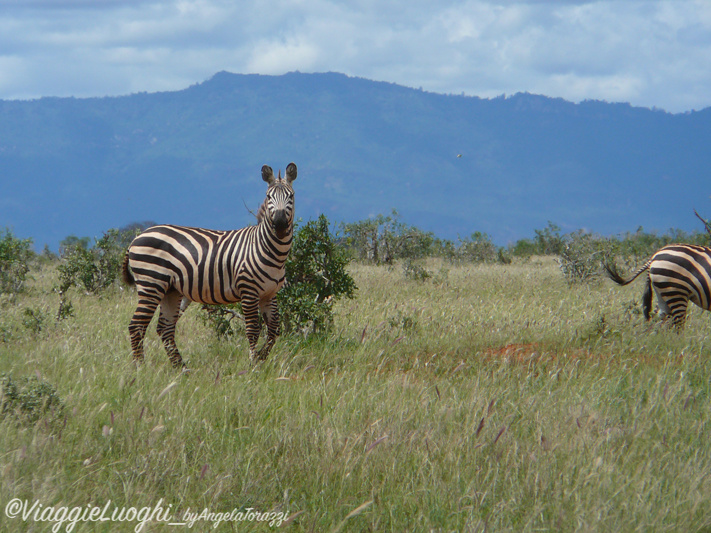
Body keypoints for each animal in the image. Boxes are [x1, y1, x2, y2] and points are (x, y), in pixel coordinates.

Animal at [121, 163, 298, 366]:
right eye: (269, 196)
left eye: (291, 196)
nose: (280, 224)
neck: (269, 250)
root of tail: (137, 237)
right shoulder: (249, 291)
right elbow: (253, 330)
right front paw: (253, 364)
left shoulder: (269, 294)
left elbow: (274, 330)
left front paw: (261, 357)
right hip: (151, 283)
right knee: (137, 326)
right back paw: (141, 368)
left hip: (170, 290)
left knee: (164, 328)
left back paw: (181, 368)